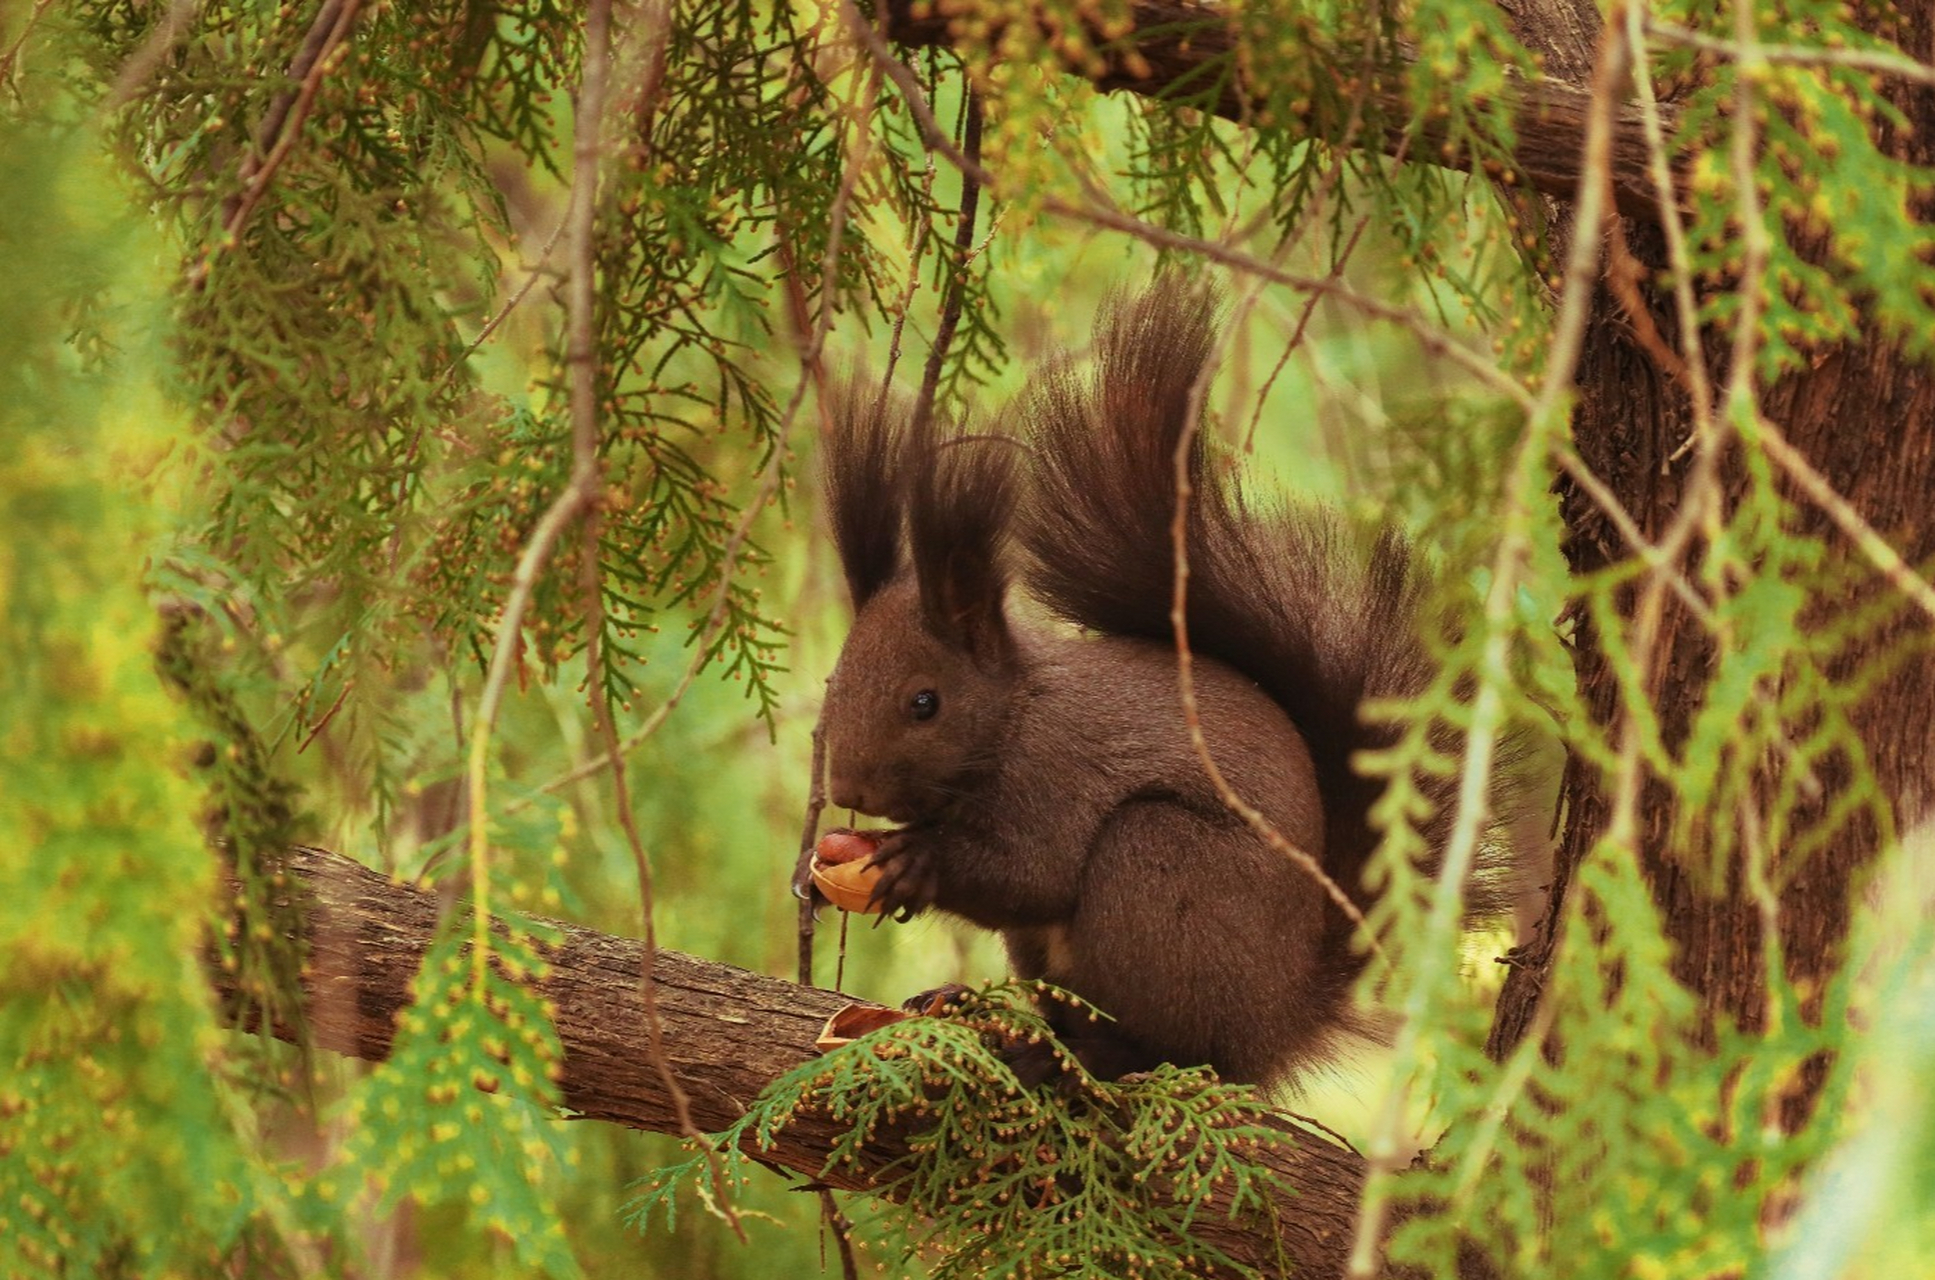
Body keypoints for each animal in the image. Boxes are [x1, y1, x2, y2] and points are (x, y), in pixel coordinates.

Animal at [801, 282, 1509, 1092]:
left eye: (925, 703)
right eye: (834, 685)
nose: (847, 788)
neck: (1013, 716)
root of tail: (1275, 1024)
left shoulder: (1056, 772)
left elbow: (1034, 873)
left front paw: (915, 861)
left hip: (1158, 872)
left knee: (1172, 1043)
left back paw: (1095, 1054)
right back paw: (986, 1012)